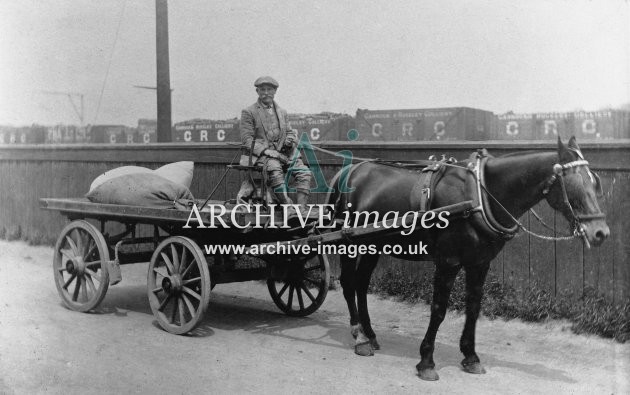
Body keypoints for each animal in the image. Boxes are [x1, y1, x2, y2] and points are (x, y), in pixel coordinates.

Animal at [328, 136, 608, 380]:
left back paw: (370, 334)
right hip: (349, 242)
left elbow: (473, 308)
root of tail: (350, 170)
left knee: (361, 284)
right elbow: (438, 310)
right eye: (573, 184)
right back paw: (360, 338)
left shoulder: (480, 263)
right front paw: (426, 361)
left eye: (594, 183)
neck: (479, 196)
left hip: (373, 245)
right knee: (349, 284)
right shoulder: (447, 262)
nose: (600, 233)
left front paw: (471, 356)